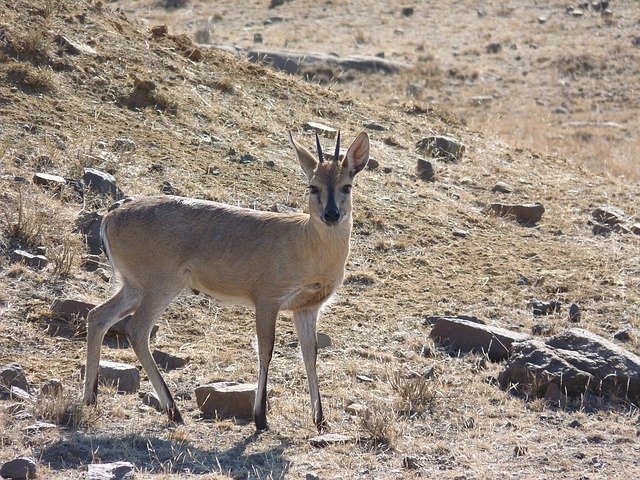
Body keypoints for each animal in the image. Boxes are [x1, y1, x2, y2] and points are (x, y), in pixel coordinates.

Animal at [82, 128, 370, 432]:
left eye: (347, 186)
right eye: (313, 187)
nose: (331, 215)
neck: (307, 244)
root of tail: (111, 217)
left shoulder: (307, 308)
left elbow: (310, 355)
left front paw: (320, 420)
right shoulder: (267, 300)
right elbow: (265, 350)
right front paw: (260, 418)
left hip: (134, 286)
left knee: (98, 315)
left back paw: (91, 399)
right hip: (159, 287)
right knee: (136, 330)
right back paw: (173, 410)